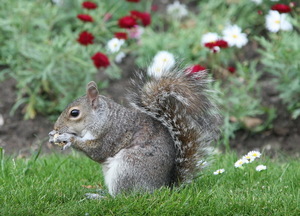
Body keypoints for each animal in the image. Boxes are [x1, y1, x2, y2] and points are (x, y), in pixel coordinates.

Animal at [48, 66, 220, 197]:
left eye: (74, 113)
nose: (56, 127)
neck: (103, 117)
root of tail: (162, 187)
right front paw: (52, 136)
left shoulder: (112, 134)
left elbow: (97, 151)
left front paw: (68, 138)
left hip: (128, 167)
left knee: (122, 197)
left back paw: (99, 197)